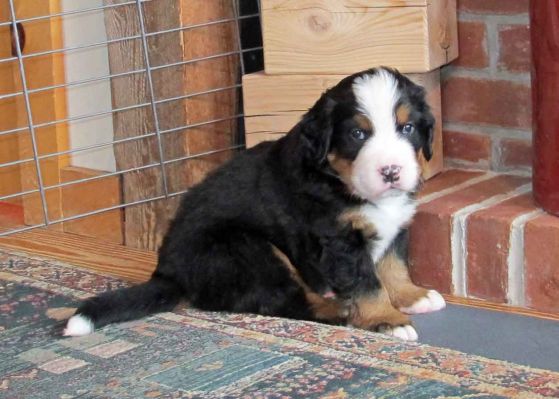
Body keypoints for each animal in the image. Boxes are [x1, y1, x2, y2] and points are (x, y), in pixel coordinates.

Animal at [64, 67, 446, 342]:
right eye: (357, 134)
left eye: (407, 128)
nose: (391, 171)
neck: (341, 181)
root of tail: (170, 272)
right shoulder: (339, 239)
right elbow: (367, 282)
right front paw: (387, 320)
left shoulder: (396, 225)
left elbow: (394, 265)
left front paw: (411, 296)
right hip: (247, 248)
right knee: (276, 299)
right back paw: (335, 309)